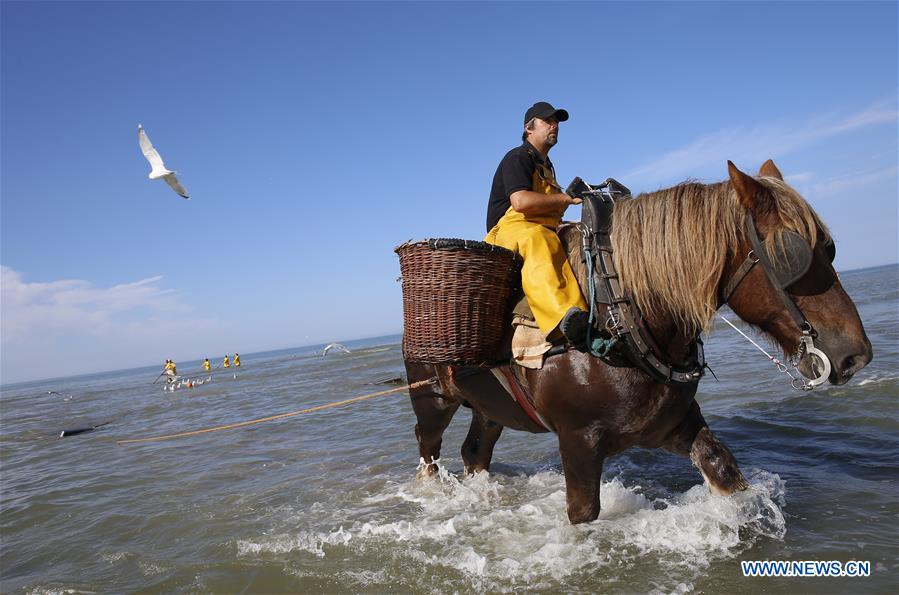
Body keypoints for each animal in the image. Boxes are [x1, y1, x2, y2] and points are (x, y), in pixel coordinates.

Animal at [406, 161, 872, 524]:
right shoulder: (577, 440)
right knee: (428, 447)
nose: (856, 355)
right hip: (433, 400)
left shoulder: (671, 421)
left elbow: (720, 464)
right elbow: (583, 512)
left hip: (489, 408)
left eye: (830, 248)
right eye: (792, 255)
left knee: (475, 451)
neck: (618, 318)